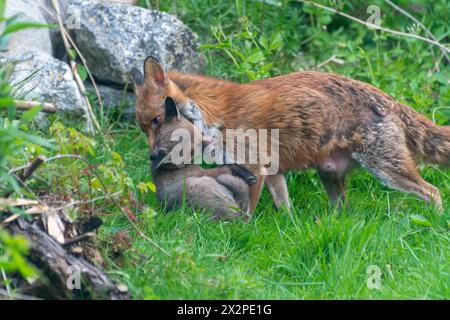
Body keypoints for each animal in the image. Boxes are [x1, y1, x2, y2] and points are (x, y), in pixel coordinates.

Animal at [132, 56, 448, 214]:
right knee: (343, 211)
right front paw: (288, 227)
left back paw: (435, 224)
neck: (210, 116)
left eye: (157, 120)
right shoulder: (272, 170)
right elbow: (284, 208)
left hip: (386, 170)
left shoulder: (255, 167)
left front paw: (244, 230)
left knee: (433, 192)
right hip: (330, 175)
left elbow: (248, 209)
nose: (152, 156)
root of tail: (390, 99)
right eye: (143, 127)